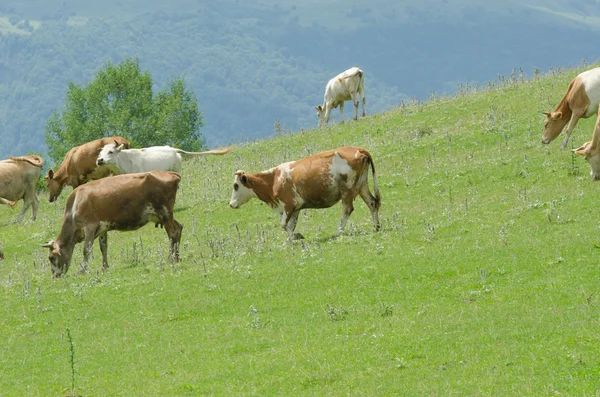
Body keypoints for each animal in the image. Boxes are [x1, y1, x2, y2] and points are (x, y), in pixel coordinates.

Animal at [41, 169, 183, 276]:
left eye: (51, 258)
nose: (55, 276)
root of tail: (171, 173)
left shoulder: (89, 226)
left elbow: (86, 250)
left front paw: (82, 270)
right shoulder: (102, 228)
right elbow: (103, 247)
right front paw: (104, 267)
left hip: (164, 213)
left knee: (173, 232)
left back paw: (171, 258)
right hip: (164, 215)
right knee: (179, 228)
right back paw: (177, 257)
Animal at [230, 145, 380, 238]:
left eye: (236, 185)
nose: (231, 204)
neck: (274, 180)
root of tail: (359, 149)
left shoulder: (288, 205)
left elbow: (284, 225)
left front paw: (296, 237)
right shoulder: (295, 208)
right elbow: (290, 226)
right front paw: (291, 240)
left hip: (347, 190)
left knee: (347, 210)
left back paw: (339, 232)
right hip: (362, 184)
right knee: (372, 203)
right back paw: (376, 227)